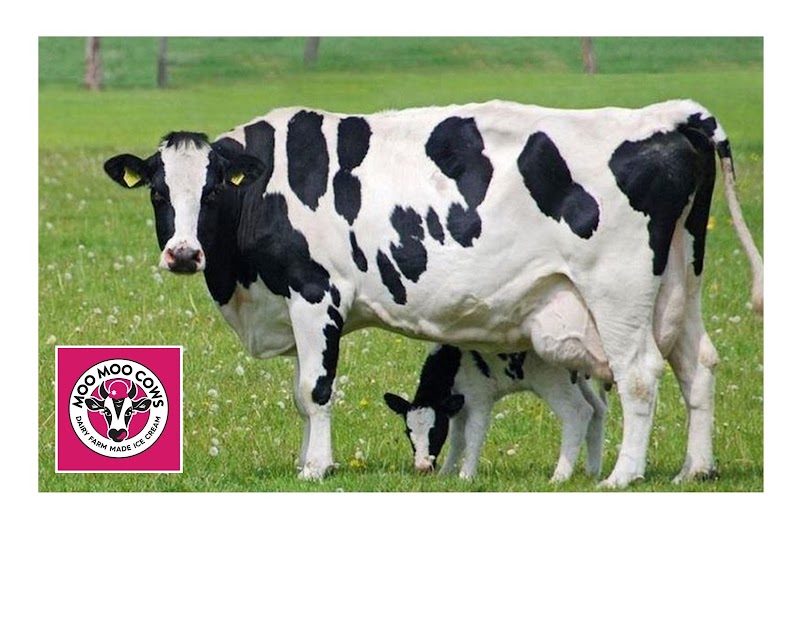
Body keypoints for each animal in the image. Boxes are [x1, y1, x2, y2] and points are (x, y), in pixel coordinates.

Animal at [383, 344, 608, 481]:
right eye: (408, 432)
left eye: (435, 431)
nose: (422, 466)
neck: (454, 361)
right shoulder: (458, 405)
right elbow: (457, 439)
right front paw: (446, 473)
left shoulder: (479, 399)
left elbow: (473, 435)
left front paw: (466, 475)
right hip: (578, 380)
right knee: (597, 409)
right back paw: (592, 471)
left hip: (552, 379)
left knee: (578, 412)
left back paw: (560, 476)